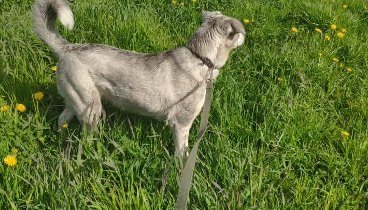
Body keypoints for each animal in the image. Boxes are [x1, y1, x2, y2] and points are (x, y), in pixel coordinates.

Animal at [31, 0, 244, 156]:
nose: (245, 37)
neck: (199, 57)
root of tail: (67, 48)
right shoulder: (182, 123)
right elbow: (182, 152)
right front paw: (179, 169)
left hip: (76, 99)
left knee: (62, 119)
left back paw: (61, 138)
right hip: (91, 109)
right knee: (86, 136)